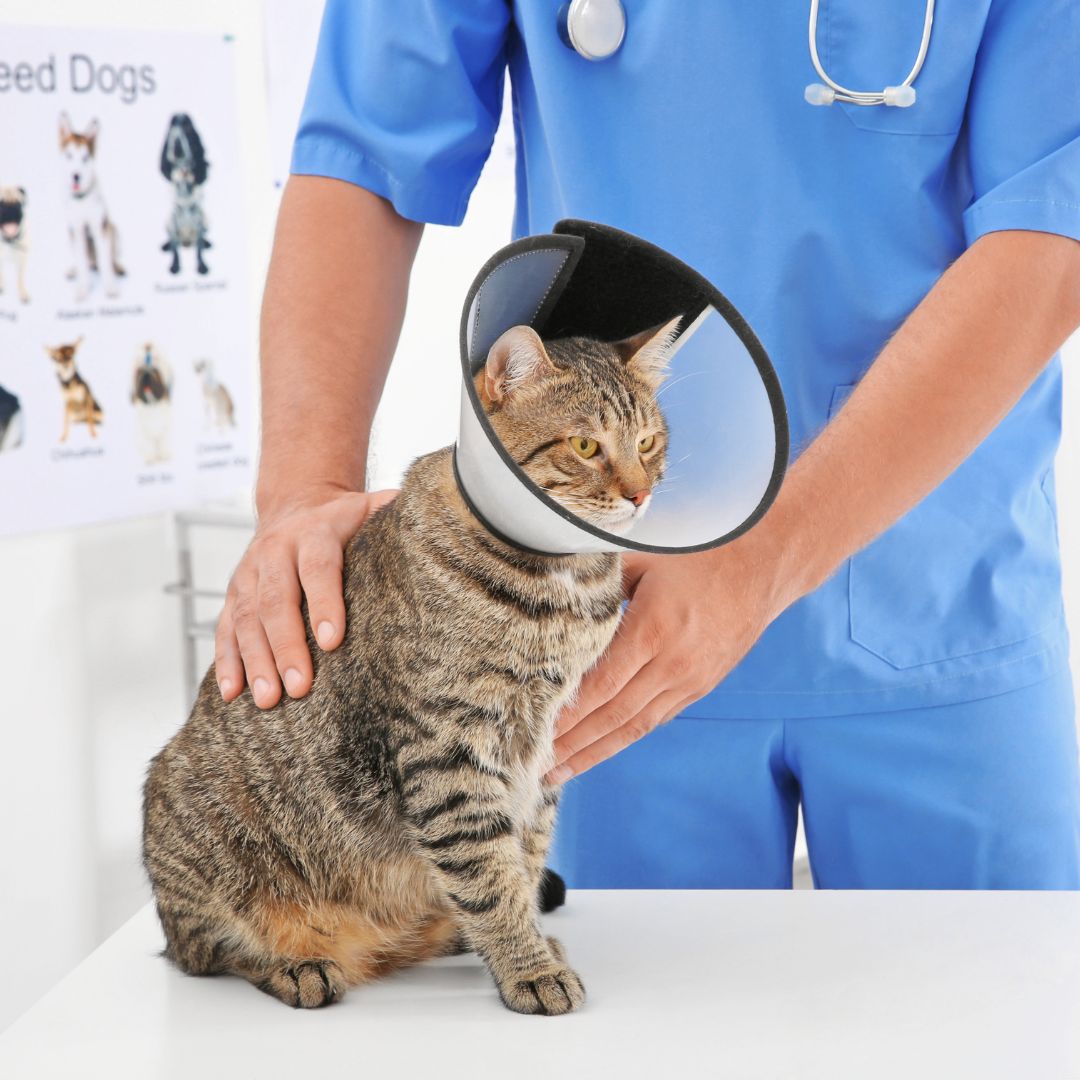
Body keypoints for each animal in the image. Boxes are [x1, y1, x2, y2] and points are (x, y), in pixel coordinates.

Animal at [141, 315, 673, 1015]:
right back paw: (296, 963)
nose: (640, 494)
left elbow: (522, 861)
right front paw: (528, 966)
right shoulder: (449, 746)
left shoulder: (545, 752)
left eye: (648, 442)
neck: (564, 585)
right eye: (586, 446)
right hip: (194, 832)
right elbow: (488, 872)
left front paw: (528, 943)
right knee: (206, 949)